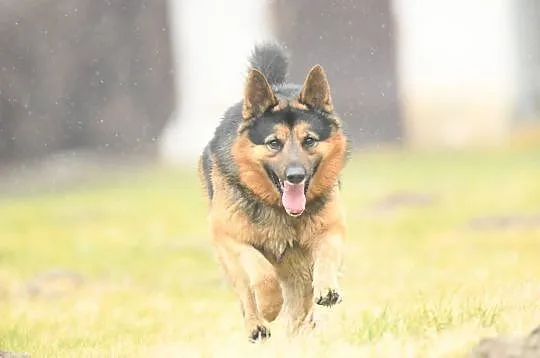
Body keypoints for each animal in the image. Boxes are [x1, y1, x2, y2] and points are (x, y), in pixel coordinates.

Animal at [198, 42, 350, 342]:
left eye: (309, 141)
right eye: (273, 143)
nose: (295, 176)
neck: (279, 209)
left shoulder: (330, 230)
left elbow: (326, 256)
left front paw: (327, 288)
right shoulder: (231, 238)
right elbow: (261, 272)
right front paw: (269, 306)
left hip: (298, 267)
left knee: (301, 302)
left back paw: (300, 332)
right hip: (231, 259)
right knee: (246, 291)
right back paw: (257, 324)